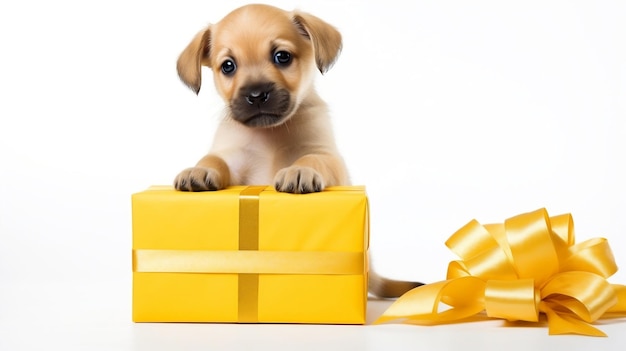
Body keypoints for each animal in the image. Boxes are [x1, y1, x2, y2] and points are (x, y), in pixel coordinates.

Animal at [172, 4, 420, 298]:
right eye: (228, 66)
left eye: (282, 57)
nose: (256, 95)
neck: (269, 135)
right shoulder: (233, 159)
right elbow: (213, 159)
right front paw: (199, 170)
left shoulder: (327, 156)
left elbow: (312, 158)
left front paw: (300, 171)